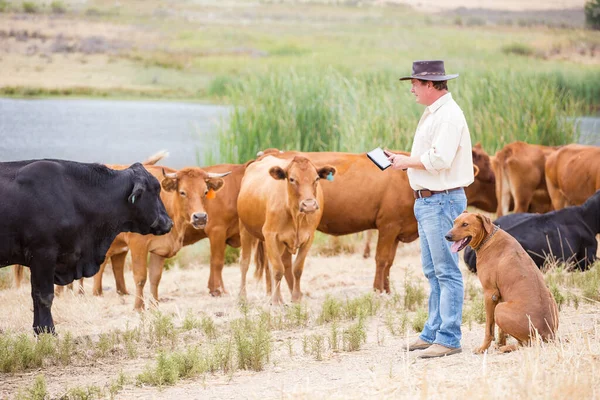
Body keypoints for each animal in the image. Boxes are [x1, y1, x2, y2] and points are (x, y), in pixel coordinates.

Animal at [94, 165, 230, 310]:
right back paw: (93, 293)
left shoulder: (159, 249)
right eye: (182, 192)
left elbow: (155, 277)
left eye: (205, 192)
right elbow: (140, 277)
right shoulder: (138, 244)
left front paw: (155, 305)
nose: (200, 217)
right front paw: (139, 307)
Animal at [237, 155, 336, 304]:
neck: (295, 215)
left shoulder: (308, 237)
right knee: (245, 262)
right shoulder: (270, 235)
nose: (309, 205)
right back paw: (242, 297)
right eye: (292, 179)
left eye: (316, 178)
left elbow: (297, 269)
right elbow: (278, 270)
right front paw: (275, 302)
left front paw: (295, 299)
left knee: (271, 265)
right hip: (245, 230)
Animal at [446, 212, 556, 354]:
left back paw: (507, 348)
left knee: (527, 343)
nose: (447, 236)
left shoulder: (490, 294)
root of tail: (548, 333)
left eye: (465, 224)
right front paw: (499, 343)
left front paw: (483, 348)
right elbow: (500, 329)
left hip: (500, 309)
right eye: (454, 222)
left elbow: (489, 327)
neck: (487, 238)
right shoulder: (499, 295)